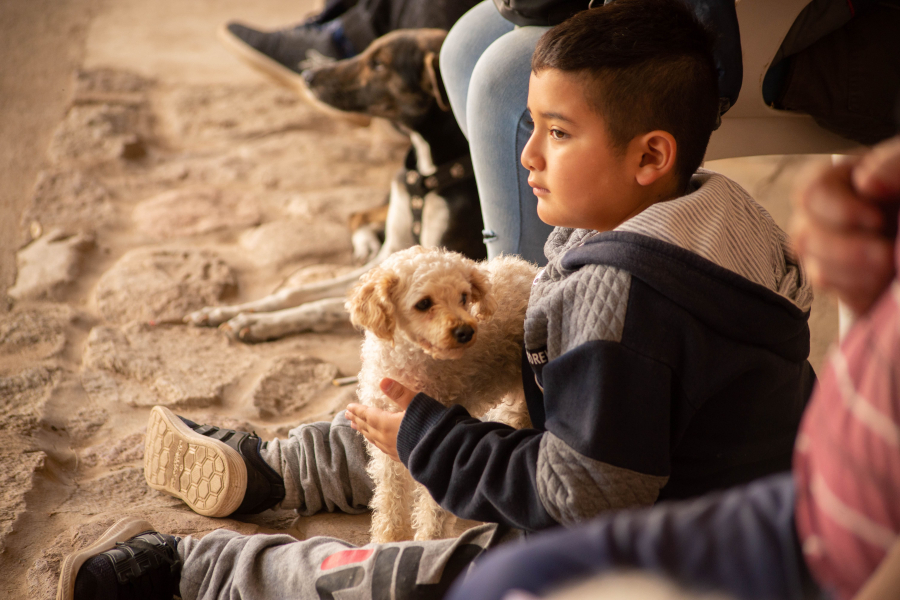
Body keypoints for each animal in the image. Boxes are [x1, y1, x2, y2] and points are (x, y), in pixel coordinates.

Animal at [184, 29, 486, 342]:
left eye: (379, 64)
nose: (307, 75)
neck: (428, 173)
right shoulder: (393, 261)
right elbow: (296, 291)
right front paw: (224, 311)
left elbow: (323, 305)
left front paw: (257, 322)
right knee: (358, 215)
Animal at [344, 246, 536, 540]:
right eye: (423, 303)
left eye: (464, 297)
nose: (466, 331)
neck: (412, 362)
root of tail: (531, 269)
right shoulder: (385, 447)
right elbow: (390, 496)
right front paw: (389, 539)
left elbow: (435, 509)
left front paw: (428, 542)